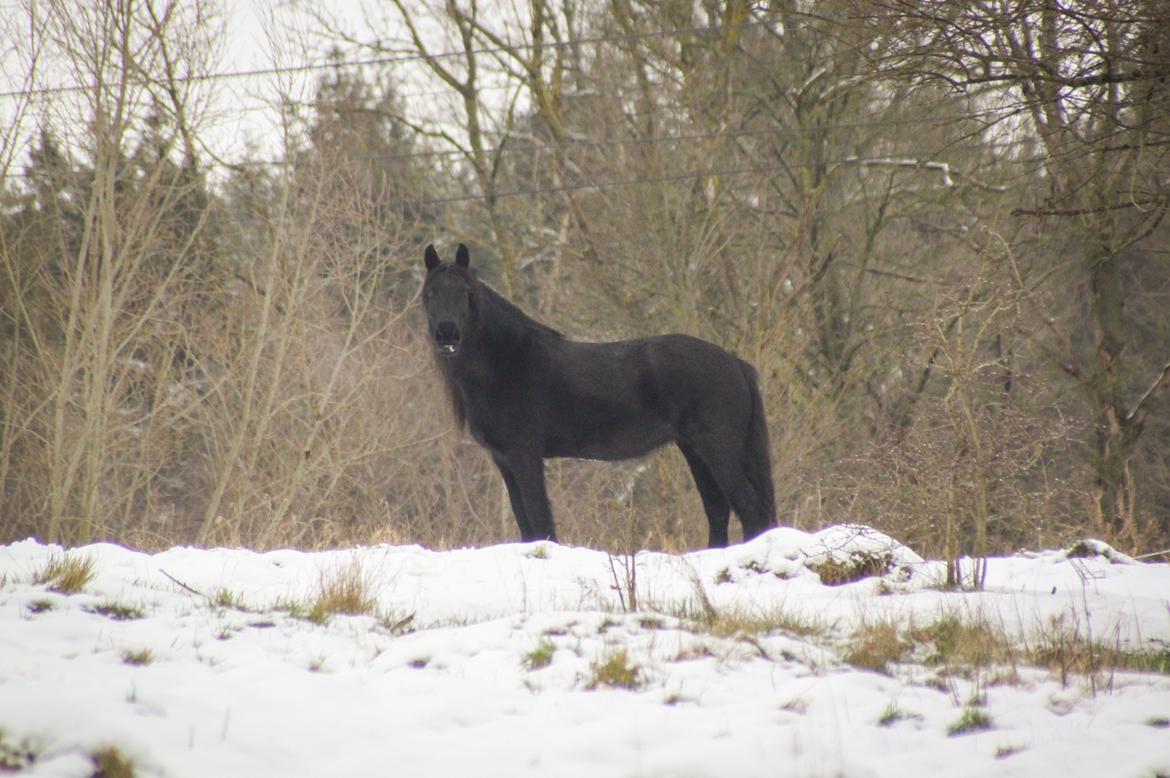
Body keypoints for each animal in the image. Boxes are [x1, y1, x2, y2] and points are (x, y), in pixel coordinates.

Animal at [421, 243, 776, 548]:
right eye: (431, 292)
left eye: (466, 293)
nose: (448, 334)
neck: (508, 361)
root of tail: (735, 362)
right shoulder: (504, 459)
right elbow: (525, 523)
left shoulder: (524, 455)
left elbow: (540, 519)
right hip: (694, 450)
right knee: (718, 509)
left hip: (718, 448)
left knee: (748, 505)